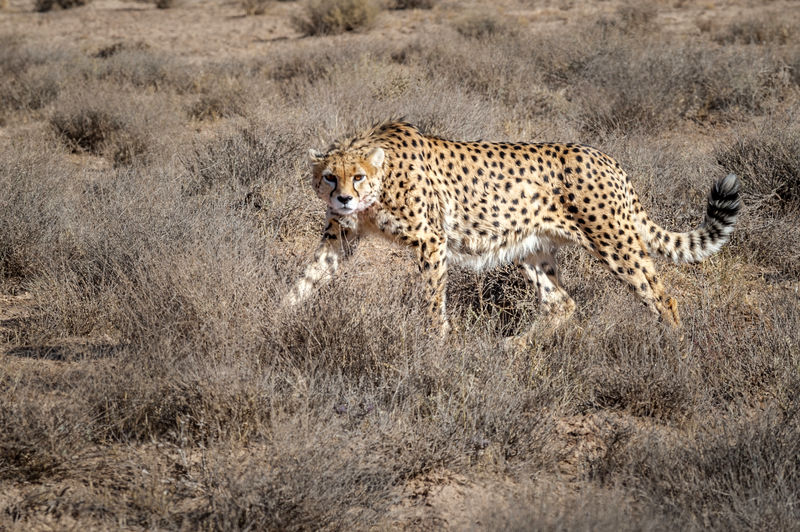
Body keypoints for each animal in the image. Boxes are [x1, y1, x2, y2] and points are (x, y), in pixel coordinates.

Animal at [284, 120, 740, 336]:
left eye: (357, 177)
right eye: (330, 177)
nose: (343, 198)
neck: (379, 187)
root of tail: (606, 157)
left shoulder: (431, 240)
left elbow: (432, 301)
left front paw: (434, 345)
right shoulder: (339, 236)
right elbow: (307, 279)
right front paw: (275, 320)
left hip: (614, 241)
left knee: (662, 298)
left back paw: (676, 355)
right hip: (531, 247)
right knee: (561, 303)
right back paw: (511, 350)